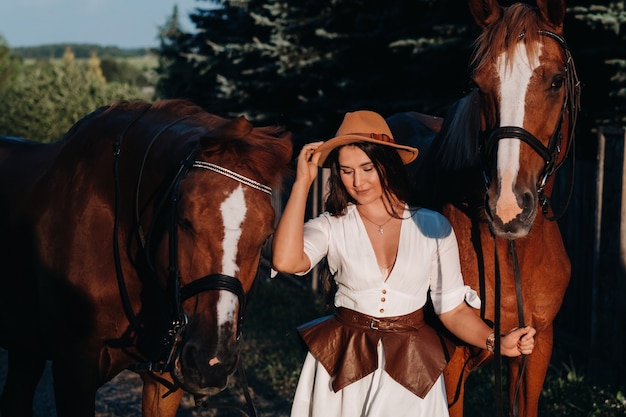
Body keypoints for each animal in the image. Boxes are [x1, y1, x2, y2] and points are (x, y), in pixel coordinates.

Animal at [386, 0, 580, 416]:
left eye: (556, 81)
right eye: (479, 84)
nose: (508, 208)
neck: (511, 253)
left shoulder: (535, 349)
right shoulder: (449, 363)